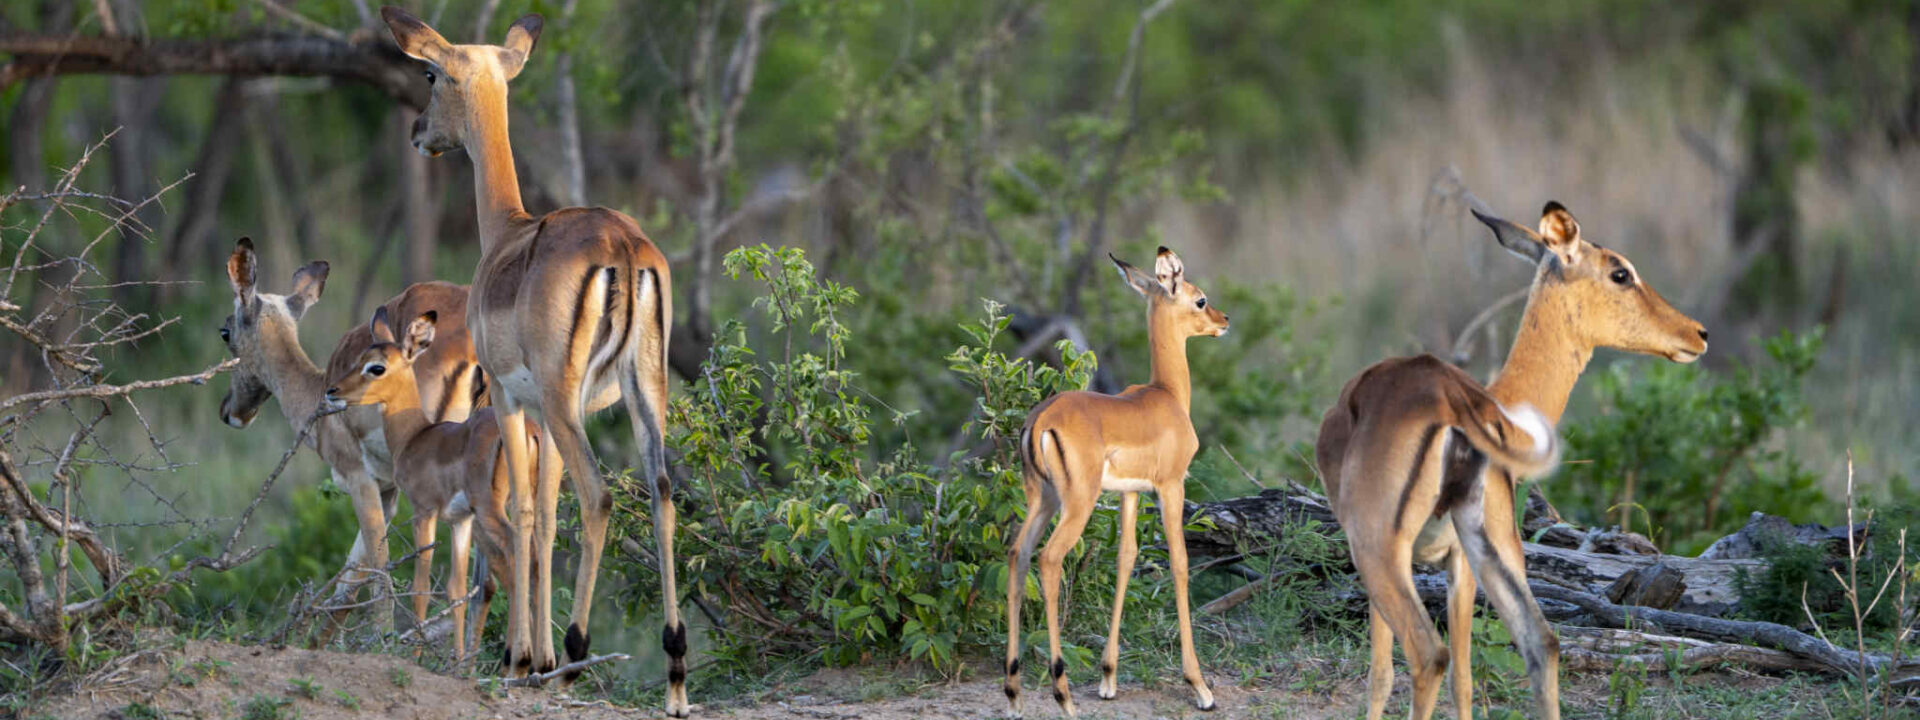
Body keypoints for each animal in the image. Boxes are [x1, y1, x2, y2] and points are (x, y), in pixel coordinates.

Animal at [219, 238, 481, 606]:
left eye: (225, 332)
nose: (230, 410)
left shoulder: (362, 480)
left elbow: (375, 573)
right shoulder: (388, 490)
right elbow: (348, 579)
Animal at [325, 308, 533, 660]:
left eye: (376, 367)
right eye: (361, 357)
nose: (333, 391)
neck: (416, 436)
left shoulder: (424, 512)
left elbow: (420, 587)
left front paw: (416, 655)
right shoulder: (460, 521)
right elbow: (456, 589)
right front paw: (459, 661)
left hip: (491, 508)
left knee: (514, 558)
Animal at [380, 8, 683, 707]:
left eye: (430, 74)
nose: (417, 132)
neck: (507, 233)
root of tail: (623, 248)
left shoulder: (514, 399)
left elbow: (522, 514)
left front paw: (523, 659)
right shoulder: (549, 413)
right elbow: (545, 516)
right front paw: (535, 656)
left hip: (566, 402)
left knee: (599, 497)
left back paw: (573, 654)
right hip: (641, 391)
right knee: (662, 493)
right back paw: (676, 676)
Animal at [1006, 248, 1227, 716]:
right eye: (1199, 299)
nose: (1223, 320)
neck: (1167, 395)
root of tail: (1041, 420)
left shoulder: (1130, 493)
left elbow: (1126, 558)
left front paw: (1108, 679)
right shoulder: (1171, 487)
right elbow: (1180, 564)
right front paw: (1200, 686)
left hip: (1042, 500)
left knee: (1018, 554)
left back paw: (1013, 691)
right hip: (1077, 503)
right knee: (1049, 560)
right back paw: (1062, 693)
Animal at [1316, 200, 1709, 720]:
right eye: (1620, 273)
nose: (1697, 333)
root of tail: (1452, 399)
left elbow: (1382, 674)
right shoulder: (1460, 563)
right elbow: (1463, 680)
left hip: (1379, 550)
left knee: (1428, 655)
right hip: (1487, 544)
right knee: (1541, 642)